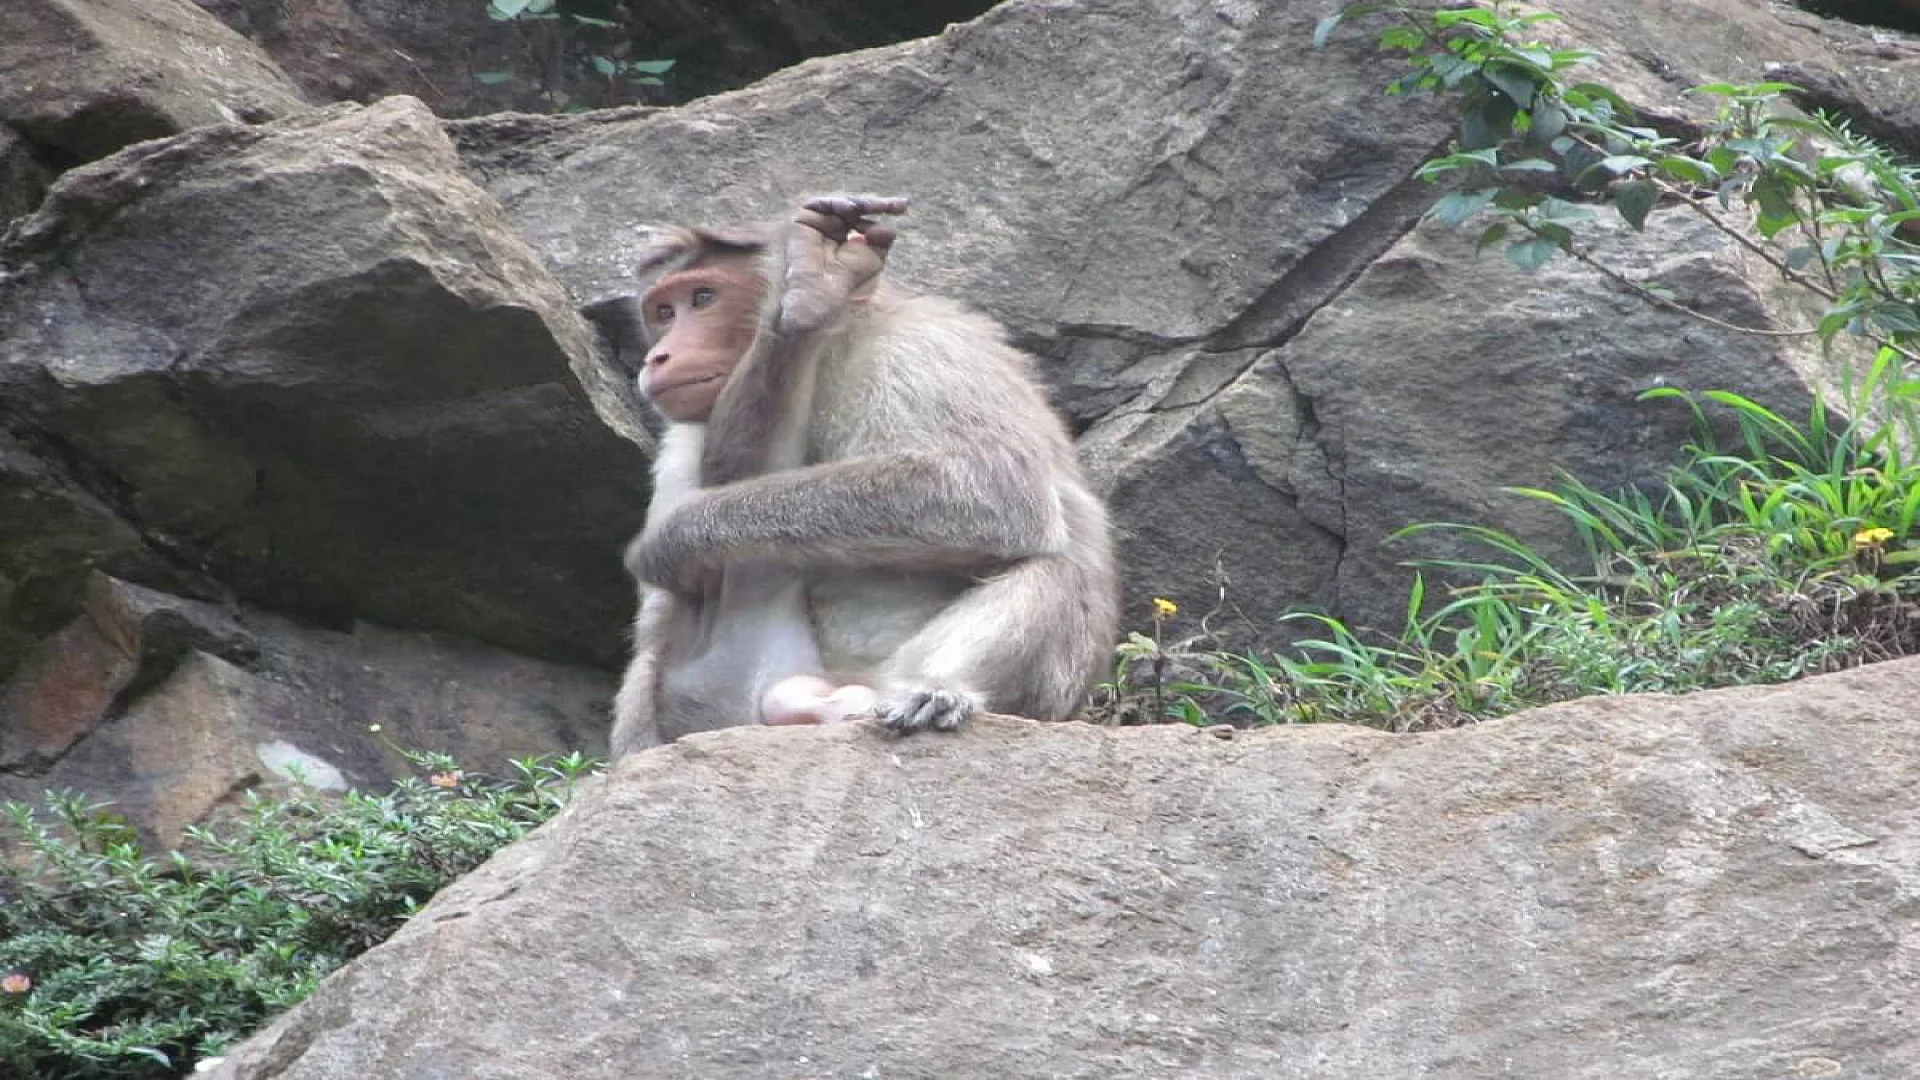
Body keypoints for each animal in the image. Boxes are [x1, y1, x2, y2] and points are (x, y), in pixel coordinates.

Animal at [594, 193, 1120, 755]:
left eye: (704, 297)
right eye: (663, 311)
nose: (658, 356)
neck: (833, 353)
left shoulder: (924, 351)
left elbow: (992, 494)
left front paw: (676, 536)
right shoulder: (686, 434)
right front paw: (798, 310)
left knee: (1053, 570)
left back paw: (933, 693)